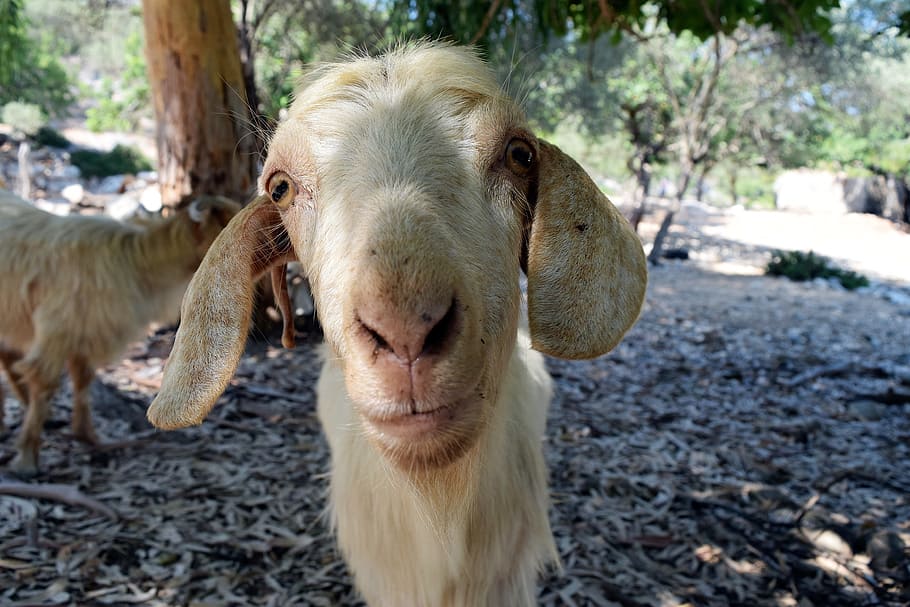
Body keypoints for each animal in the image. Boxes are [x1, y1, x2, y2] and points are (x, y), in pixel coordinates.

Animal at [0, 190, 240, 475]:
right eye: (225, 224)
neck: (136, 263)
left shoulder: (87, 334)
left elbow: (83, 381)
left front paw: (88, 436)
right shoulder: (57, 334)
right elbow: (45, 384)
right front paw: (27, 458)